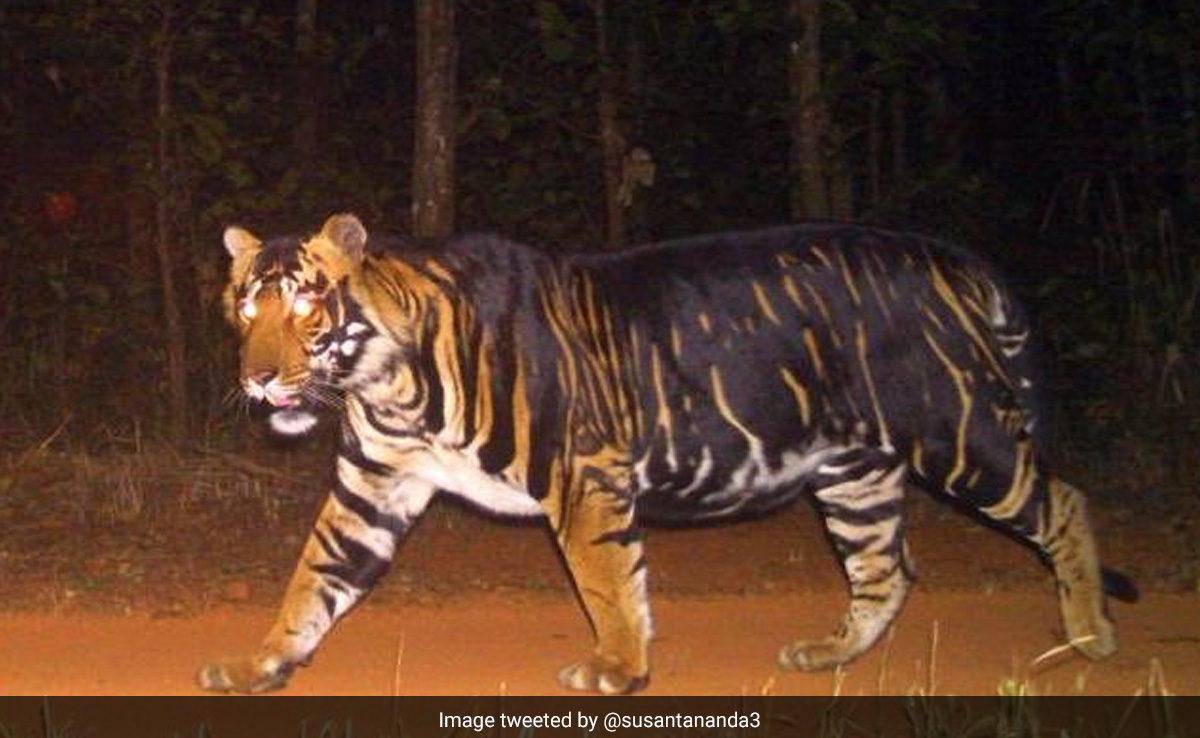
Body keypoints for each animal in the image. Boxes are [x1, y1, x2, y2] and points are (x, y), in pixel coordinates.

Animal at [196, 213, 1134, 694]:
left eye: (305, 307)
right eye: (245, 309)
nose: (258, 380)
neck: (384, 379)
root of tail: (950, 255)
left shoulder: (584, 476)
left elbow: (607, 582)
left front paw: (616, 669)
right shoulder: (374, 488)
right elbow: (314, 579)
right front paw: (259, 664)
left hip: (958, 431)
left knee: (1064, 503)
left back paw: (1091, 636)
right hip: (855, 474)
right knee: (884, 570)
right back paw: (827, 657)